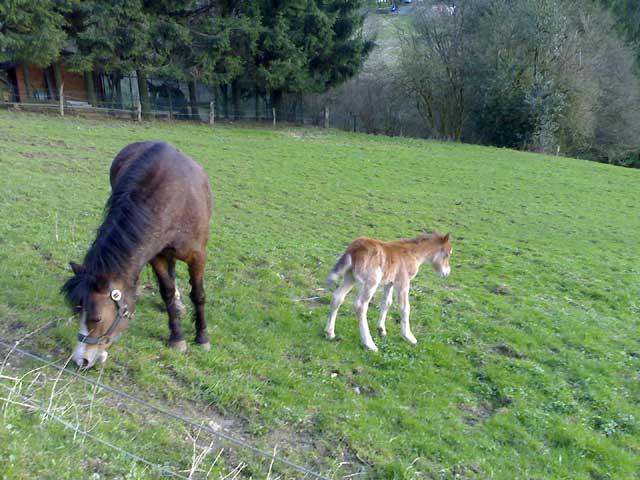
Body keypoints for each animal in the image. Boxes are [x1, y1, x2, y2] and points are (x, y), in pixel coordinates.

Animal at [61, 142, 214, 368]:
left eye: (97, 318)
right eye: (77, 311)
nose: (81, 360)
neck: (174, 200)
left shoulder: (198, 256)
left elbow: (198, 295)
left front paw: (202, 337)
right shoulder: (156, 255)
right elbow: (167, 291)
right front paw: (177, 337)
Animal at [322, 233, 452, 352]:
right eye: (447, 254)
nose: (446, 273)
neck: (412, 253)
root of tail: (354, 249)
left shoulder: (389, 283)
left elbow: (386, 303)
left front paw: (381, 329)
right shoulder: (403, 282)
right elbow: (405, 308)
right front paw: (409, 337)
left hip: (350, 277)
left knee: (337, 297)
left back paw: (329, 333)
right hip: (371, 282)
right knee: (360, 306)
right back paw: (369, 344)